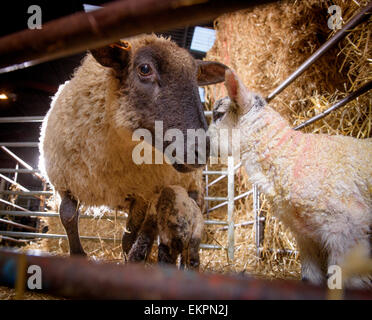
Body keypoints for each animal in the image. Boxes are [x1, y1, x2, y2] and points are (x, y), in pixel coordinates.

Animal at [40, 34, 227, 260]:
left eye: (196, 76)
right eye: (144, 69)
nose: (201, 151)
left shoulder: (142, 196)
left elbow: (128, 238)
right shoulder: (65, 181)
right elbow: (67, 216)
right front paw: (78, 254)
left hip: (190, 188)